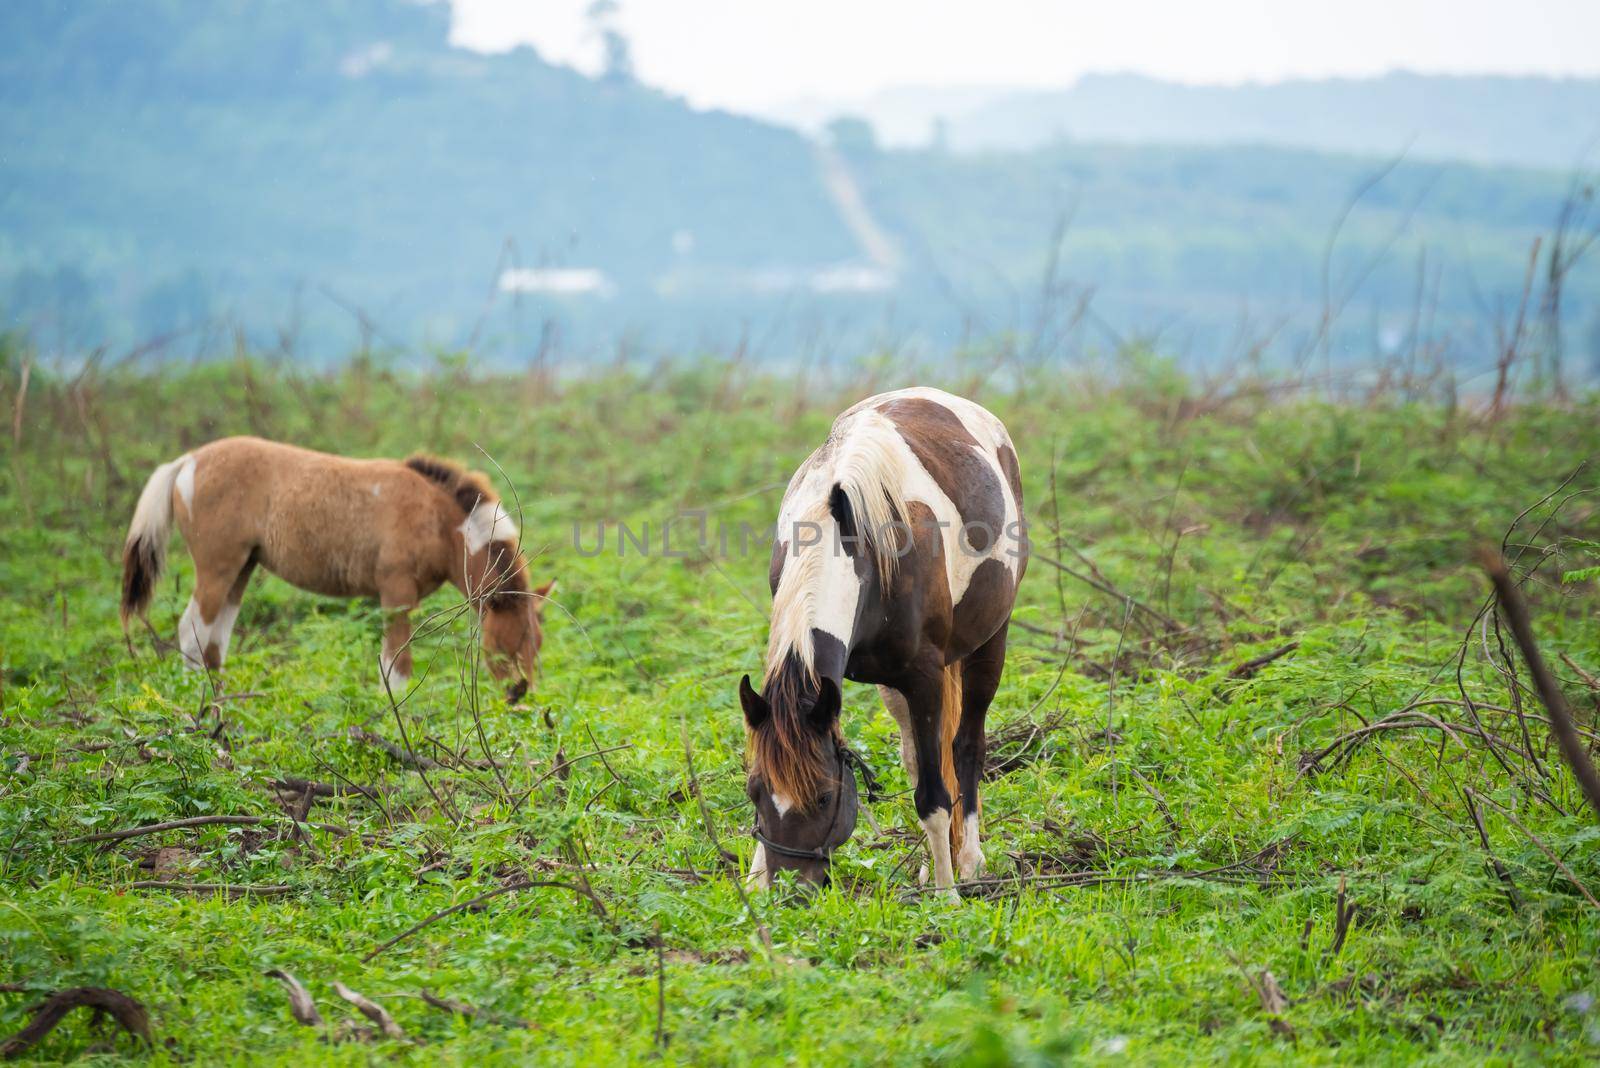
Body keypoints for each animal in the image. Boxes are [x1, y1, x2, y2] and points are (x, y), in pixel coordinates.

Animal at [120, 434, 556, 700]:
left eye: (537, 643)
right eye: (506, 644)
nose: (519, 696)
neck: (437, 520)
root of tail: (187, 461)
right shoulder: (396, 593)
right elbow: (396, 665)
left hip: (241, 569)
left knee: (215, 640)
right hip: (217, 566)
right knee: (192, 632)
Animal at [736, 388, 1024, 895]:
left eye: (825, 795)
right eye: (755, 790)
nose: (792, 890)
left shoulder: (924, 677)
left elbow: (934, 796)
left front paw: (946, 895)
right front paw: (755, 883)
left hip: (989, 643)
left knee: (966, 746)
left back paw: (968, 861)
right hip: (895, 688)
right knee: (919, 758)